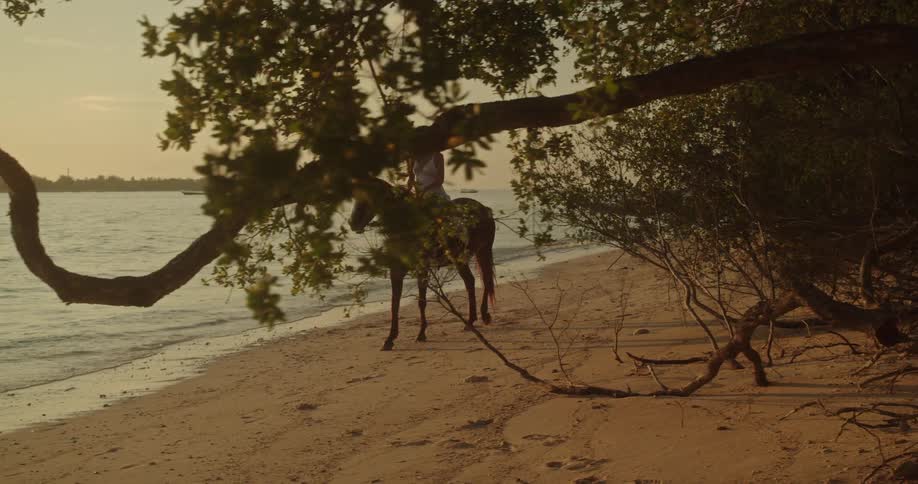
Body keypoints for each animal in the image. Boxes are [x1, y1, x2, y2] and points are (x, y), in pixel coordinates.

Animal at [348, 178, 496, 351]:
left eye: (368, 197)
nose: (353, 223)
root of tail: (484, 209)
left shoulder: (422, 269)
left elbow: (421, 302)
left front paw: (421, 334)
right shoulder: (396, 271)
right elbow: (394, 304)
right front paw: (390, 339)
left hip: (481, 252)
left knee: (483, 280)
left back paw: (479, 317)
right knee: (472, 282)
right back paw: (474, 320)